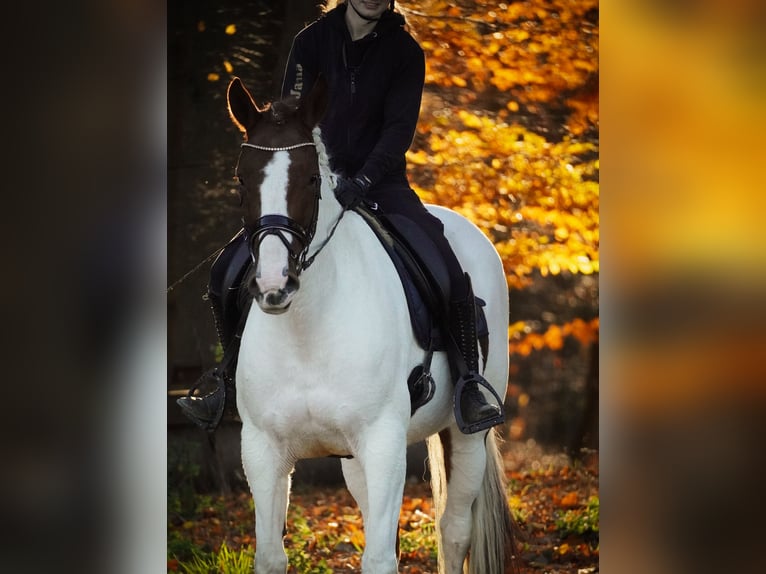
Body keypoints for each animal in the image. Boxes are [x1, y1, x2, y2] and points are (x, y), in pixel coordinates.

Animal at [226, 75, 517, 574]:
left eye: (311, 178)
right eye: (242, 179)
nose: (273, 284)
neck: (308, 331)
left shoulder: (383, 444)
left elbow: (380, 557)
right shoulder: (263, 451)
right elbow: (270, 556)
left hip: (466, 435)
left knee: (455, 530)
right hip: (352, 459)